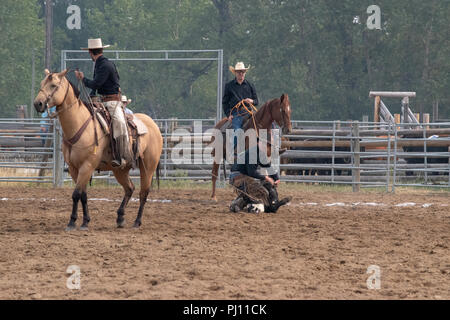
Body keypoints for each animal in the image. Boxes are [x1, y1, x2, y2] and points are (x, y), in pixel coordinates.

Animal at [33, 70, 163, 230]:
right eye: (42, 83)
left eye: (53, 85)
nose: (37, 103)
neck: (80, 124)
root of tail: (154, 125)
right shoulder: (74, 168)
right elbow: (83, 195)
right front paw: (85, 221)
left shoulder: (87, 166)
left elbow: (76, 194)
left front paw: (72, 222)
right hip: (120, 169)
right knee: (130, 188)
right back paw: (120, 218)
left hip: (148, 167)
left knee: (143, 193)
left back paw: (137, 222)